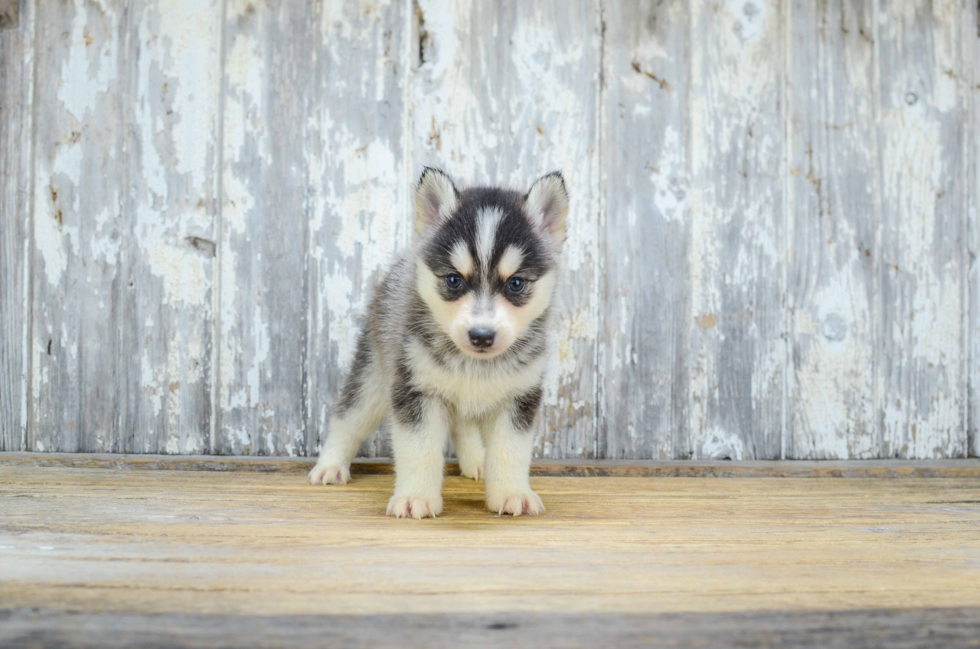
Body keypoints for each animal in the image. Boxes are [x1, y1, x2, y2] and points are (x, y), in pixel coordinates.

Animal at [306, 170, 568, 520]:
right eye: (454, 280)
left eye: (516, 283)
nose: (481, 335)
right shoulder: (415, 391)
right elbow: (420, 450)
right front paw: (415, 497)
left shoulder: (518, 398)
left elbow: (510, 450)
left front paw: (512, 493)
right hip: (373, 377)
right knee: (348, 417)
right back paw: (330, 465)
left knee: (463, 425)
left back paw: (476, 461)